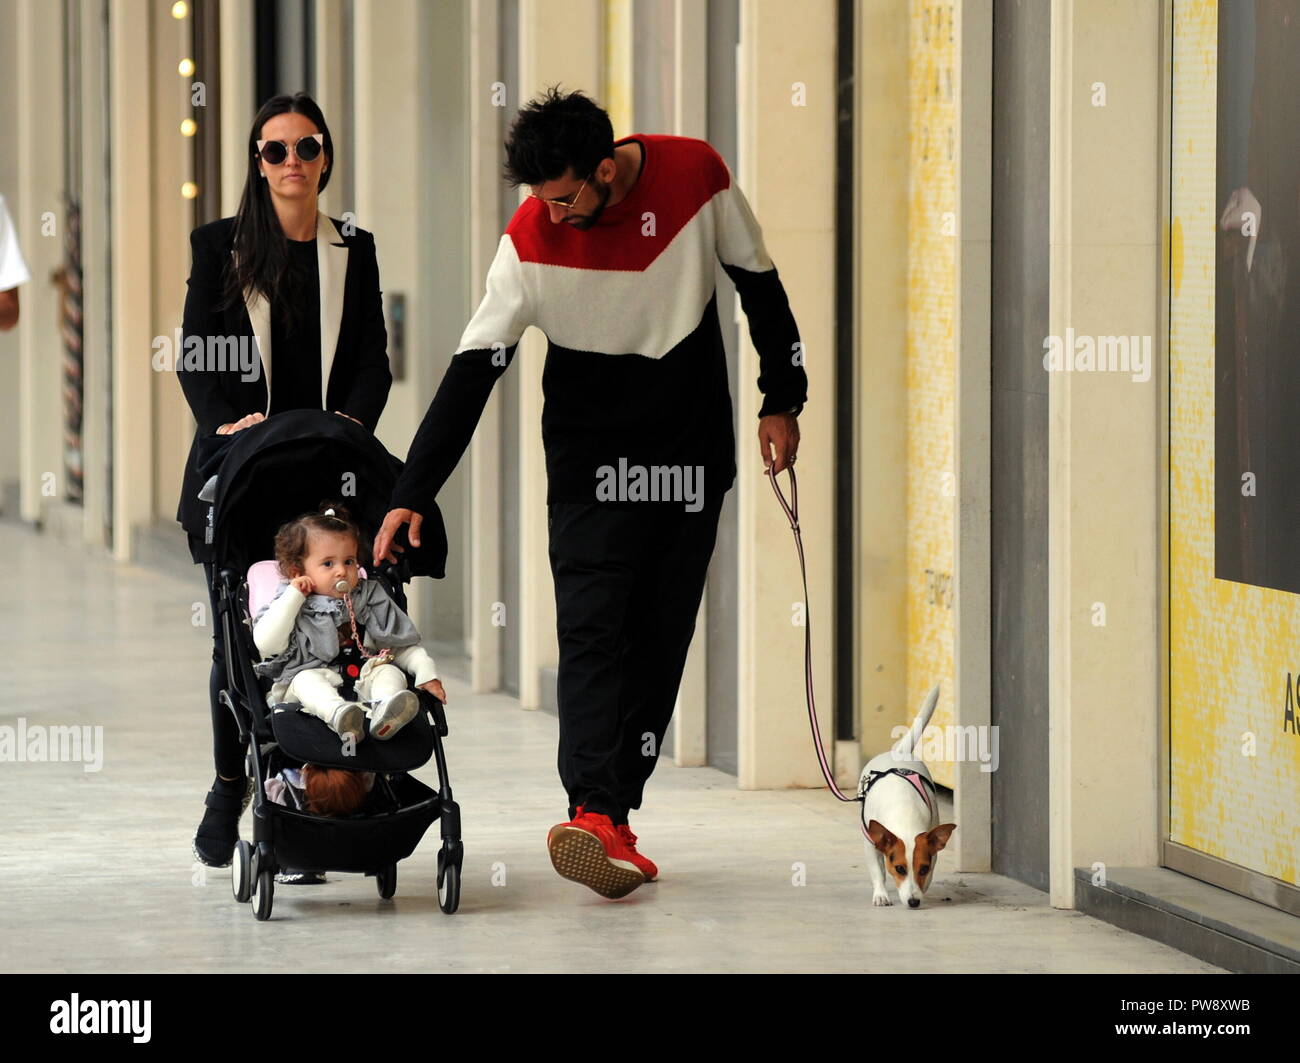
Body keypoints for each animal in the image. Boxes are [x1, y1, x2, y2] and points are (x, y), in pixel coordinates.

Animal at [857, 686, 961, 904]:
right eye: (899, 868)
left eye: (923, 868)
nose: (914, 902)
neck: (904, 815)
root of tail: (899, 752)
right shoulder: (871, 843)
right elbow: (877, 871)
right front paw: (881, 894)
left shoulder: (932, 850)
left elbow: (930, 873)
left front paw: (922, 889)